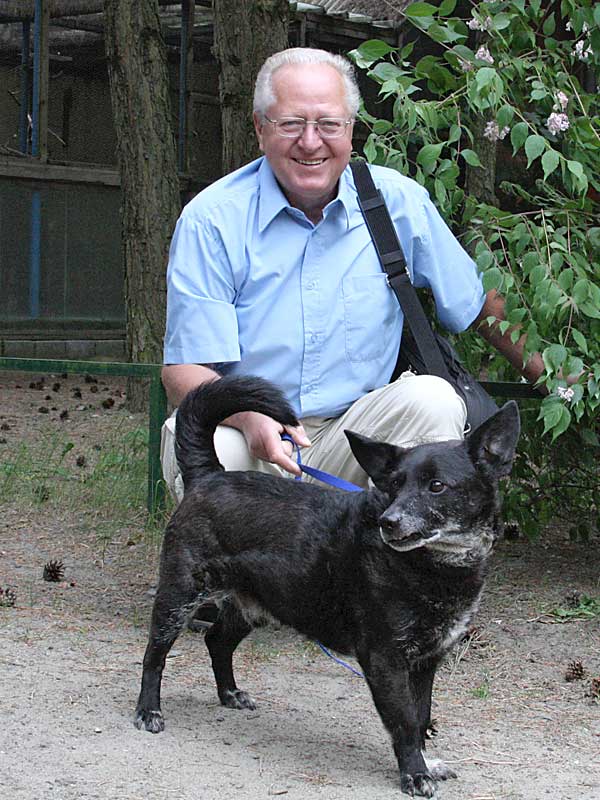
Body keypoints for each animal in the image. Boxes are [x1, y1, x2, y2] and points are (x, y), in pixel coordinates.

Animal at [135, 375, 520, 798]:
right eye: (394, 485)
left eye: (437, 486)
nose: (388, 522)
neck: (433, 567)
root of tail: (210, 475)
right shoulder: (385, 660)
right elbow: (404, 721)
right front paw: (414, 773)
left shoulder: (426, 662)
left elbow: (421, 718)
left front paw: (426, 762)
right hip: (178, 598)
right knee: (154, 656)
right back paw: (148, 710)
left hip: (254, 606)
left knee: (216, 641)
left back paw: (229, 693)